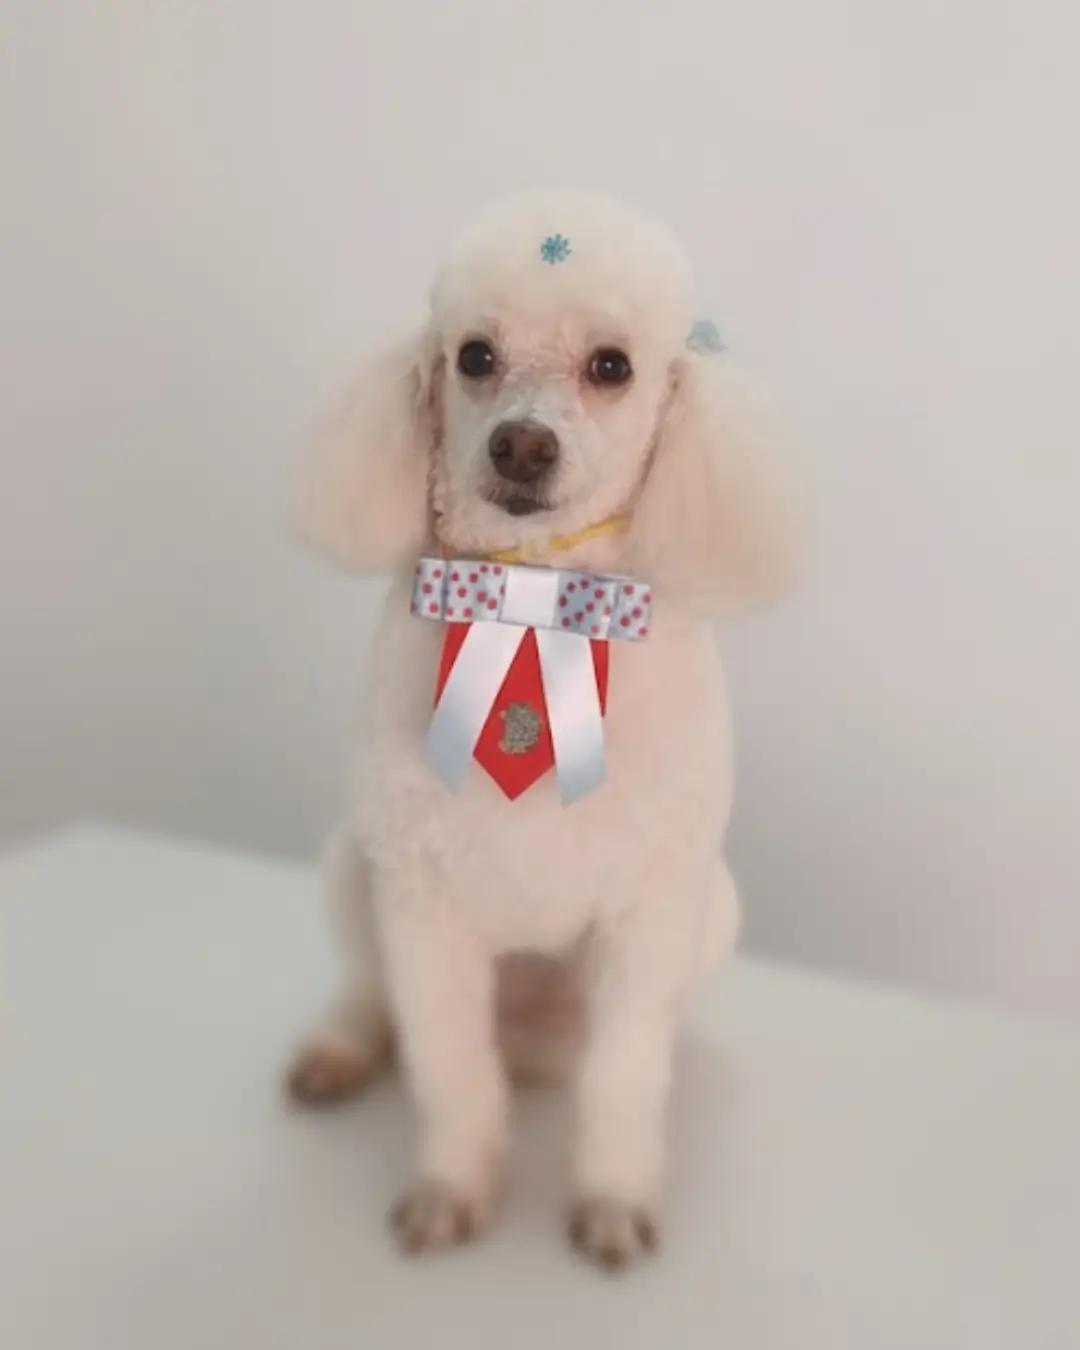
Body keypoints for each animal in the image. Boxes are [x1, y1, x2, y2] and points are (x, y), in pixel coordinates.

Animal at [286, 191, 795, 1270]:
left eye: (612, 366)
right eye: (474, 355)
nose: (521, 445)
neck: (531, 598)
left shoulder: (649, 911)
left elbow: (624, 1077)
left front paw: (612, 1199)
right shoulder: (422, 901)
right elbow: (446, 1065)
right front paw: (452, 1190)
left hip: (710, 913)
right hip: (354, 867)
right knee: (373, 996)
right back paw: (339, 1051)